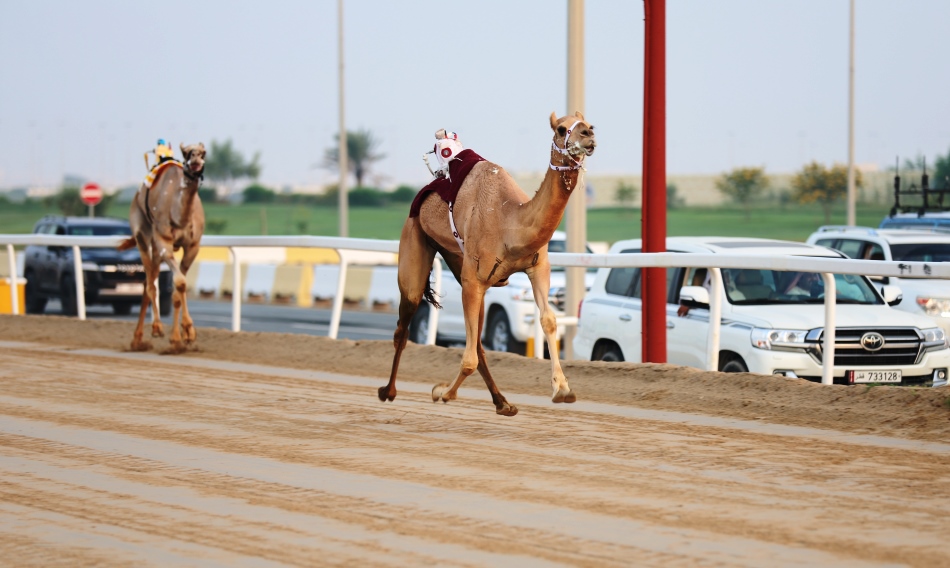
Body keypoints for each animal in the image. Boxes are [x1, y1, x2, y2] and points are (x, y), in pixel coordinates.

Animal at [118, 142, 206, 352]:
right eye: (187, 153)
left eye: (204, 152)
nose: (196, 160)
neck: (180, 217)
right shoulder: (165, 243)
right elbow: (180, 283)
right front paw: (182, 334)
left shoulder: (193, 246)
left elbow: (178, 288)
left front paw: (183, 336)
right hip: (143, 234)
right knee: (150, 282)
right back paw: (154, 329)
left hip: (156, 248)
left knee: (148, 280)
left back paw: (139, 338)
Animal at [380, 111, 596, 414]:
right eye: (562, 129)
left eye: (589, 124)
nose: (588, 136)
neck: (510, 222)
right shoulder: (474, 279)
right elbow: (468, 358)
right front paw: (442, 392)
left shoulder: (538, 267)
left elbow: (548, 320)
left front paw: (562, 389)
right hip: (415, 242)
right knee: (404, 323)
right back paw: (387, 391)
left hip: (458, 260)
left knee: (477, 341)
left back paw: (502, 402)